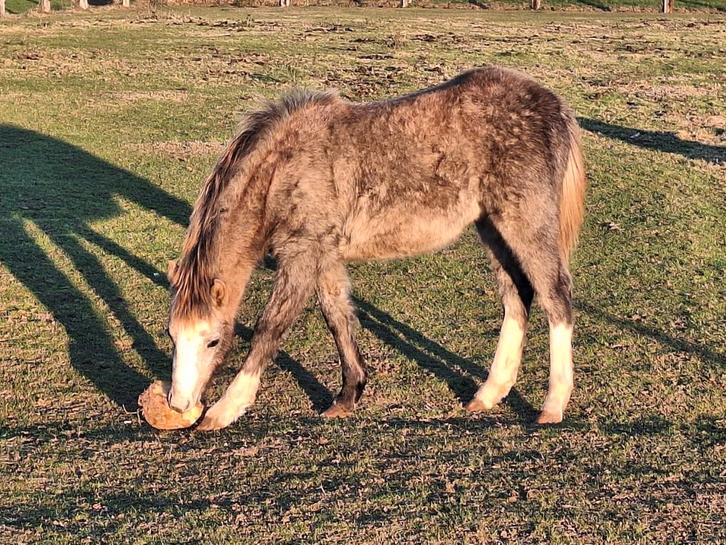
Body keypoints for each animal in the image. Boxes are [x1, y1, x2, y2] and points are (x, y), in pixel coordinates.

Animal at [164, 66, 586, 431]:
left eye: (212, 340)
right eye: (171, 336)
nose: (178, 404)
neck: (284, 167)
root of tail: (555, 105)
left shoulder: (301, 252)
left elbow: (270, 328)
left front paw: (225, 408)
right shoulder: (324, 254)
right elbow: (337, 316)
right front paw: (348, 395)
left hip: (526, 222)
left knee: (556, 297)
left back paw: (553, 404)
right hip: (492, 228)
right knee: (517, 298)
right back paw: (489, 394)